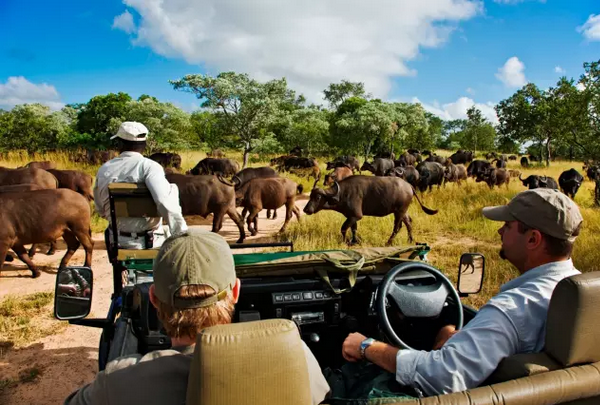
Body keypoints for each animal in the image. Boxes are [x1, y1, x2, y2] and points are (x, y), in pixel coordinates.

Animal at [304, 176, 436, 245]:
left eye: (318, 197)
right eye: (310, 196)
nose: (306, 209)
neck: (341, 194)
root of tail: (409, 186)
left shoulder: (356, 215)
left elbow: (343, 228)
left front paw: (345, 241)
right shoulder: (352, 216)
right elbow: (353, 229)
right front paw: (354, 241)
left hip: (399, 212)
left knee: (397, 227)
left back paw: (388, 242)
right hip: (402, 211)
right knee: (409, 222)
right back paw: (410, 240)